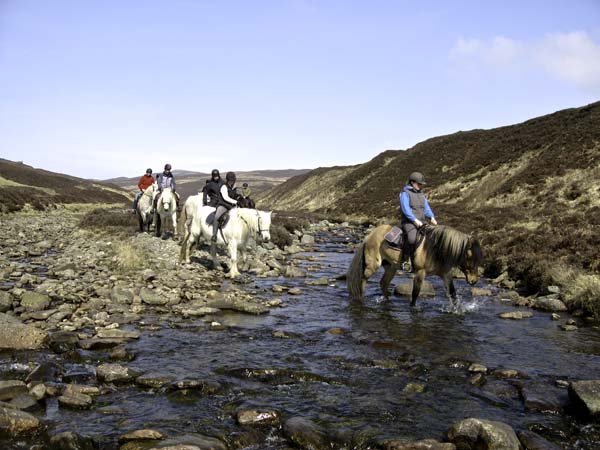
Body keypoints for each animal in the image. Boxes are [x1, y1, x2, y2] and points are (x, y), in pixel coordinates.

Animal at [346, 224, 482, 308]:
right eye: (469, 257)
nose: (474, 280)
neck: (434, 249)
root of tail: (369, 236)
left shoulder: (446, 274)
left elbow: (453, 294)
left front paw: (457, 310)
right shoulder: (420, 272)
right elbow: (415, 293)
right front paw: (413, 308)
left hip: (391, 267)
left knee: (383, 283)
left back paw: (388, 301)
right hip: (373, 266)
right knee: (362, 279)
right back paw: (360, 298)